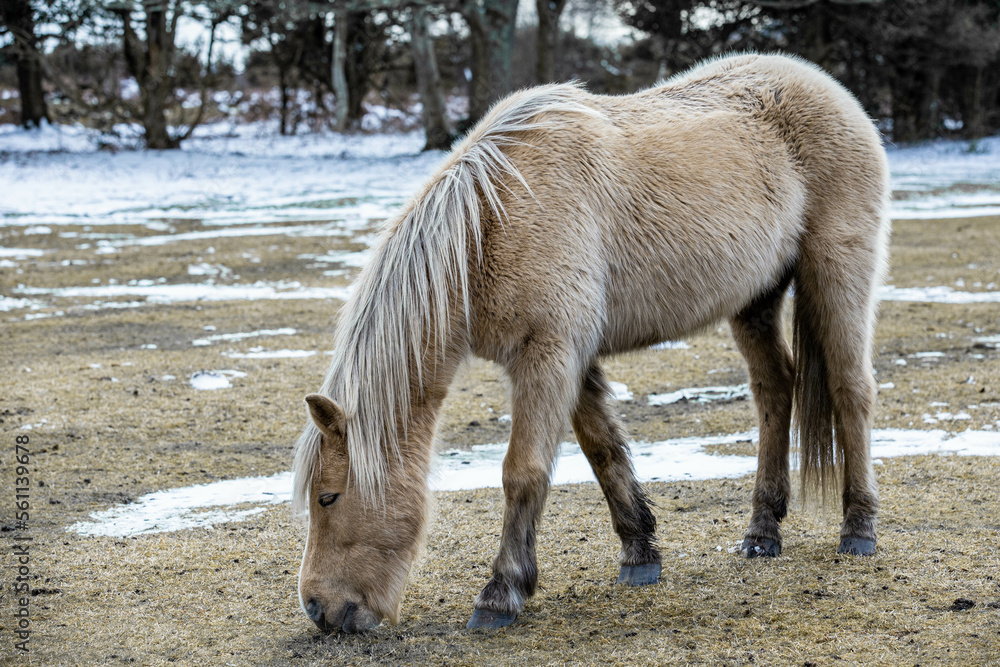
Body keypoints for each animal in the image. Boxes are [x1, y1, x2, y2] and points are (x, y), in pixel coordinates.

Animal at [292, 52, 890, 633]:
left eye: (328, 496)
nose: (318, 610)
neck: (490, 223)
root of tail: (829, 90)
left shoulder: (548, 354)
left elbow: (524, 472)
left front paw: (501, 594)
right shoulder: (570, 356)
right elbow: (602, 449)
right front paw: (640, 554)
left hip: (835, 272)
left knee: (850, 389)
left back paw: (859, 528)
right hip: (754, 301)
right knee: (774, 390)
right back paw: (762, 534)